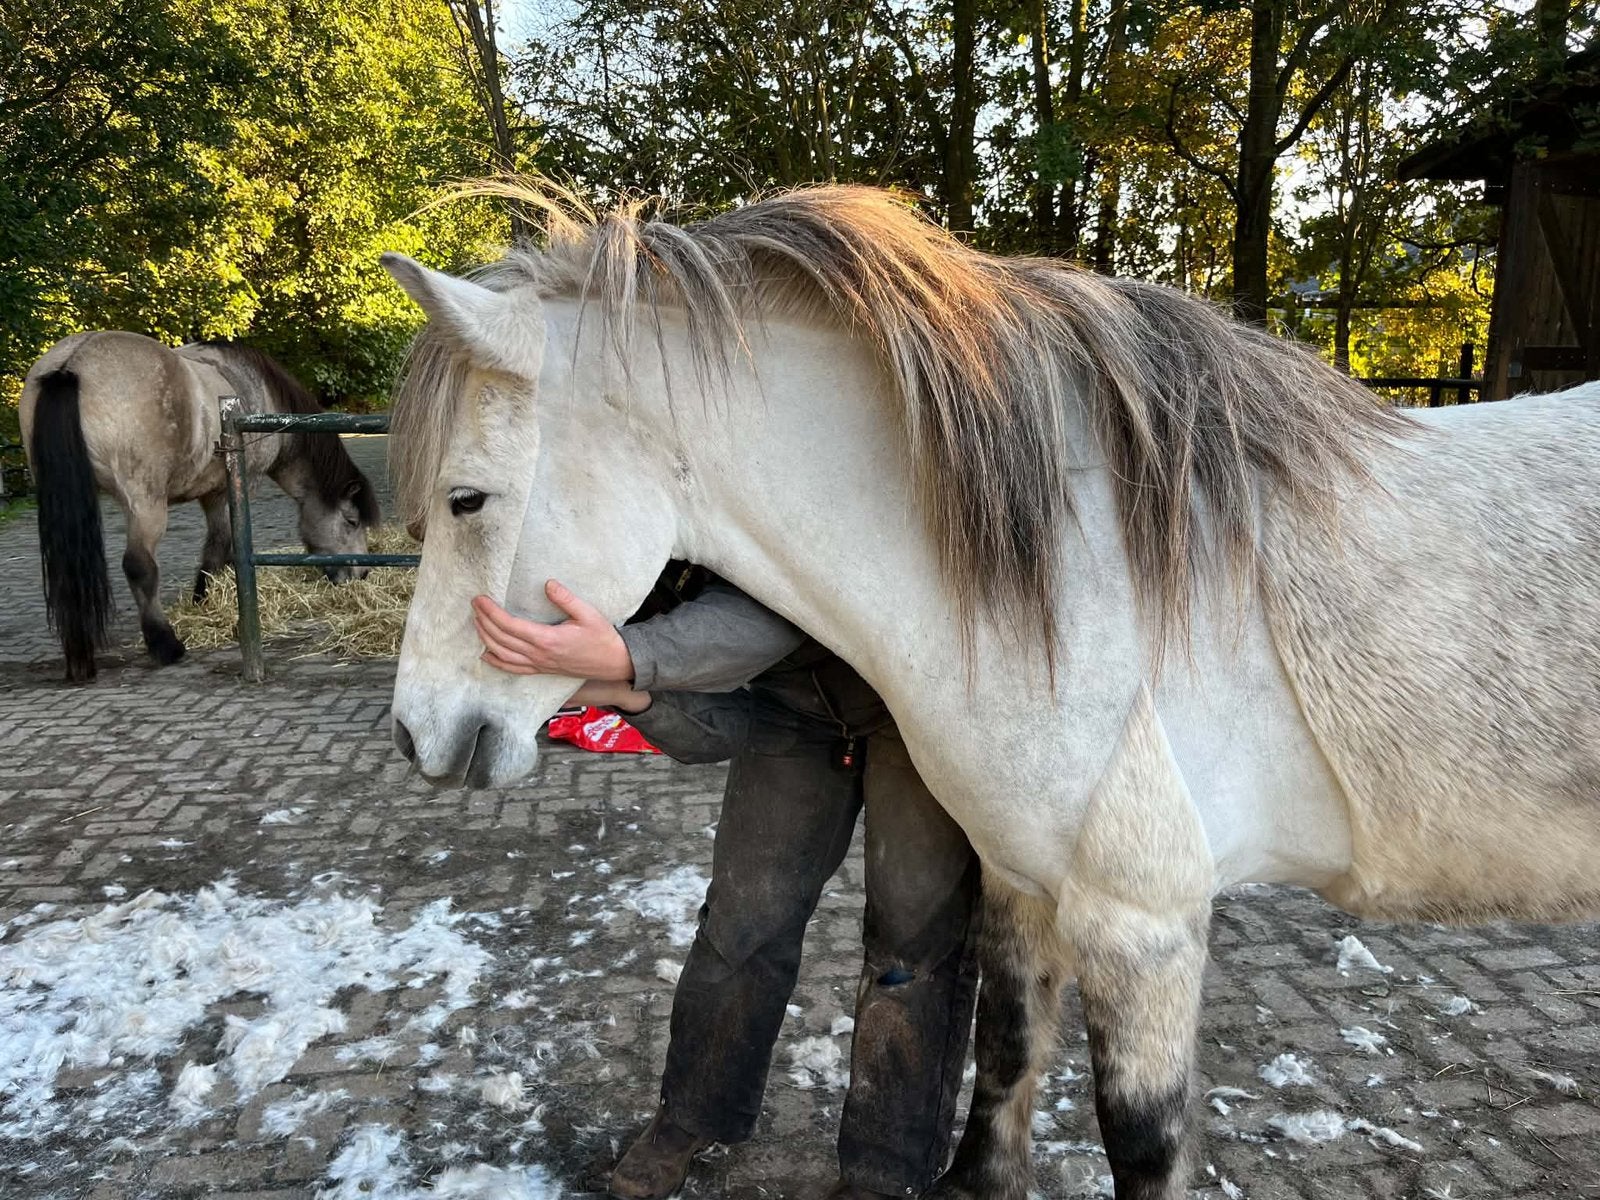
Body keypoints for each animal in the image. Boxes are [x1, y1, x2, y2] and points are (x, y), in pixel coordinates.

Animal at [20, 333, 380, 682]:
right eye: (351, 521)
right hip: (145, 504)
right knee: (139, 566)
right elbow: (222, 547)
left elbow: (215, 548)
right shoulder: (234, 488)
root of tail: (71, 364)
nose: (361, 574)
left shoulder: (210, 493)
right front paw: (207, 602)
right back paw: (165, 645)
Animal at [378, 183, 1600, 1200]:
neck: (1083, 568)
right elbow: (1005, 1061)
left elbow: (1144, 1142)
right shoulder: (1023, 884)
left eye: (467, 499)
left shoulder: (1147, 929)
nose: (413, 734)